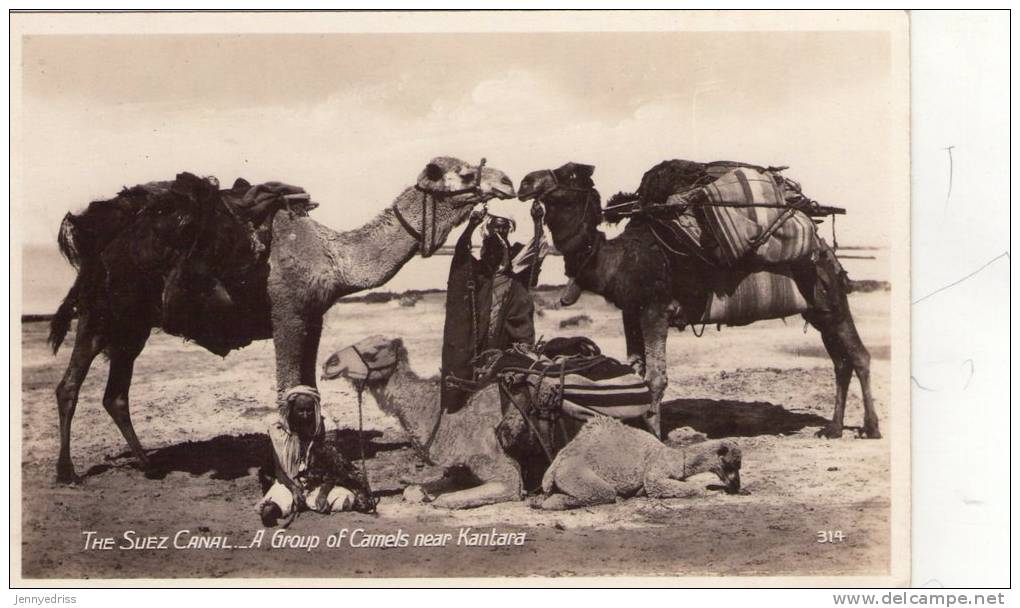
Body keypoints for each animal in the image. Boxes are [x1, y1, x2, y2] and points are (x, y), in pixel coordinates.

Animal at [48, 158, 514, 483]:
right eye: (466, 172)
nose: (507, 182)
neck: (334, 257)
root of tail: (86, 239)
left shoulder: (312, 315)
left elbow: (309, 393)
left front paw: (323, 463)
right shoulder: (288, 310)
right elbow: (289, 395)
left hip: (125, 324)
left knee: (108, 393)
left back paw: (147, 465)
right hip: (109, 314)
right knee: (75, 386)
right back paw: (68, 473)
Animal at [518, 160, 877, 436]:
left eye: (568, 174)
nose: (525, 182)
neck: (617, 259)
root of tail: (823, 247)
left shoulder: (655, 308)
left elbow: (656, 379)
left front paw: (657, 437)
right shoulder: (630, 310)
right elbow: (635, 372)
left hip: (830, 298)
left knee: (858, 356)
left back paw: (870, 429)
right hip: (818, 309)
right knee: (841, 361)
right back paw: (832, 429)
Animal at [542, 416, 742, 510]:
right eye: (731, 464)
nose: (737, 485)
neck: (676, 458)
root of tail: (554, 466)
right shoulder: (656, 470)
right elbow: (658, 485)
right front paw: (712, 492)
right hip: (574, 474)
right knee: (604, 493)